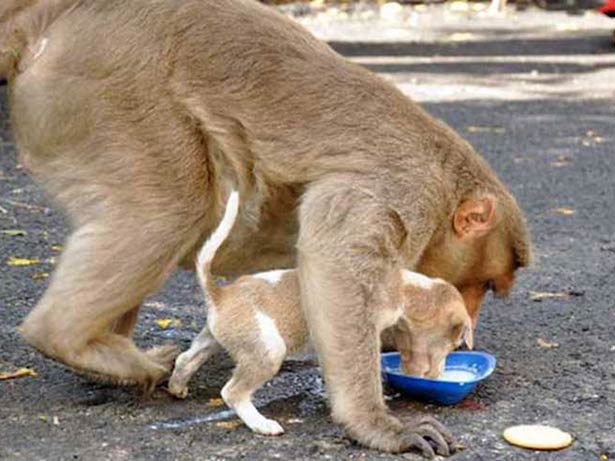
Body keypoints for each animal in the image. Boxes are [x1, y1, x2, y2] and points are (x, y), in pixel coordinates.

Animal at [170, 191, 476, 434]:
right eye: (454, 344)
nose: (437, 376)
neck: (405, 289)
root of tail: (220, 295)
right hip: (268, 351)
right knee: (233, 392)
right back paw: (262, 424)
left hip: (214, 339)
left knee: (186, 358)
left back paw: (177, 387)